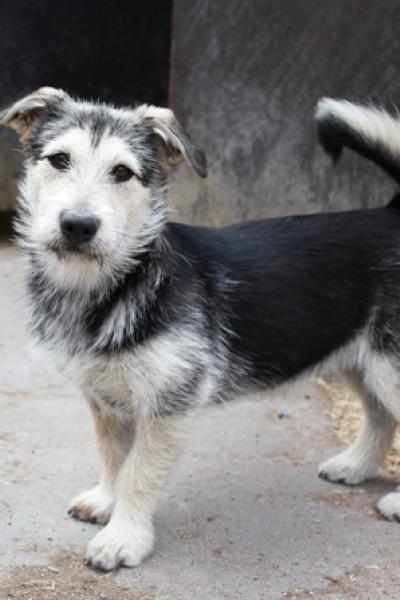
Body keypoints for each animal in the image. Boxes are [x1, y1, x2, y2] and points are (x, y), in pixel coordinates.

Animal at [2, 88, 400, 571]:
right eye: (59, 160)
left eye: (122, 173)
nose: (78, 225)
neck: (114, 284)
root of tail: (394, 215)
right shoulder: (105, 397)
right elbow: (113, 456)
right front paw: (105, 501)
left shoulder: (169, 402)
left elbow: (139, 472)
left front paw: (123, 539)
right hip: (360, 361)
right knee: (381, 415)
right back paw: (354, 466)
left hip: (389, 366)